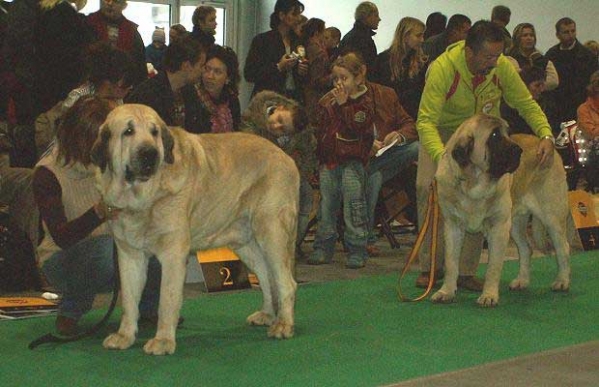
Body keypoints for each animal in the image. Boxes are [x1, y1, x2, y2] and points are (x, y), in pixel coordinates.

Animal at [92, 104, 300, 356]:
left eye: (154, 132)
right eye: (128, 131)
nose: (150, 153)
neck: (143, 198)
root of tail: (285, 156)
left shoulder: (173, 254)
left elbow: (167, 299)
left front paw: (163, 340)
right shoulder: (130, 255)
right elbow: (130, 301)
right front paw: (124, 336)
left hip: (271, 232)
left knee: (286, 282)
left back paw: (283, 325)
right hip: (246, 243)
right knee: (267, 277)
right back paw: (268, 315)